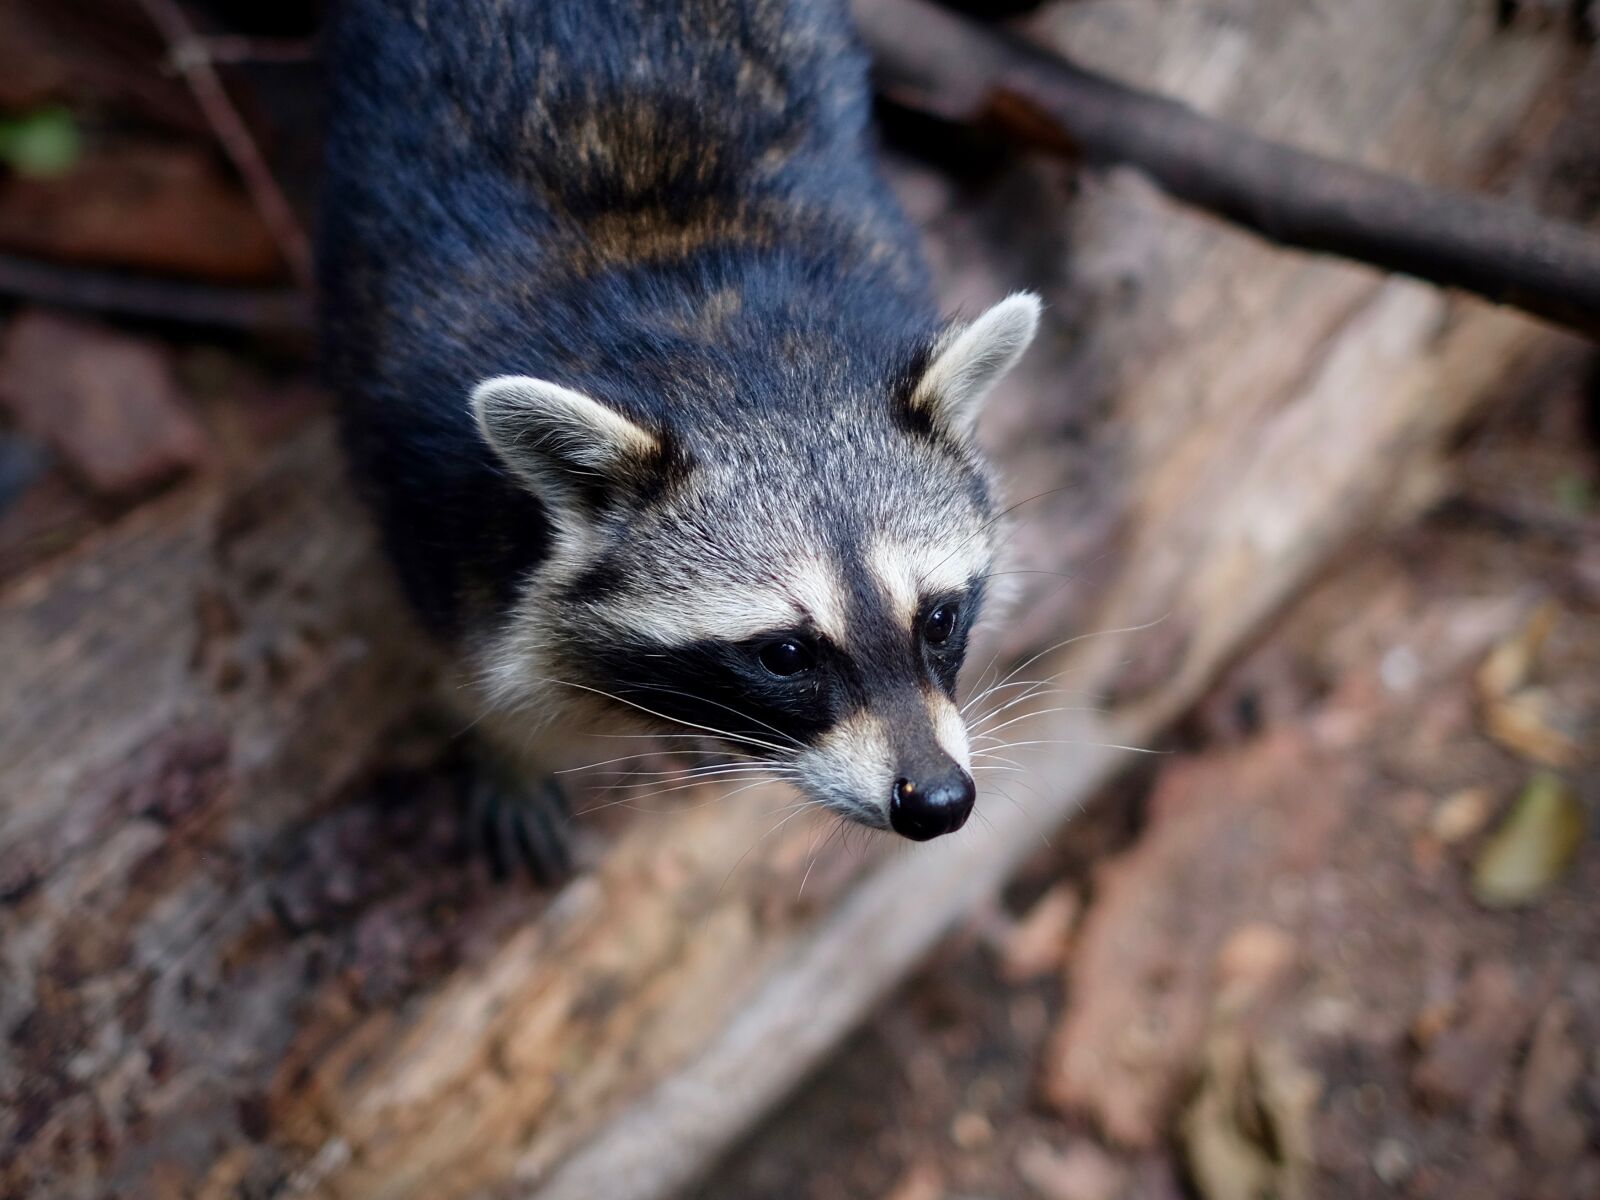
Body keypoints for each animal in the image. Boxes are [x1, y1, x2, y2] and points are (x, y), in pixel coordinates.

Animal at [318, 0, 1043, 870]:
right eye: (785, 655)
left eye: (937, 620)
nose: (937, 801)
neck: (721, 342)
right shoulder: (421, 471)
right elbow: (461, 647)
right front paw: (503, 744)